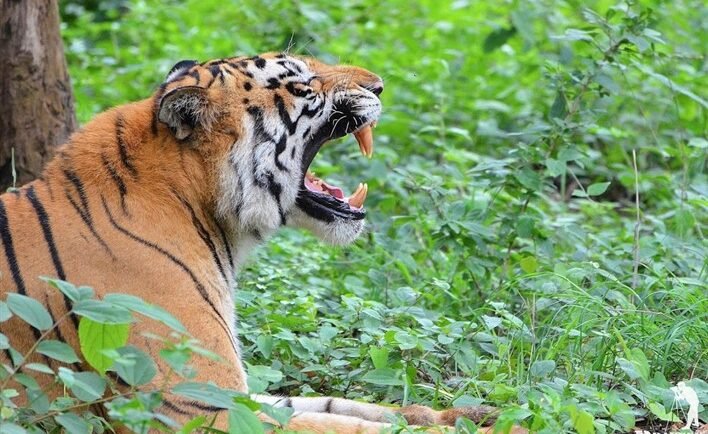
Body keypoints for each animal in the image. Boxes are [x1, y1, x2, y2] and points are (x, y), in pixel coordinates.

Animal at [0, 52, 520, 433]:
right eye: (301, 83)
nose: (379, 86)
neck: (206, 215)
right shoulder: (198, 406)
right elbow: (345, 427)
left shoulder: (232, 391)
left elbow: (337, 405)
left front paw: (470, 413)